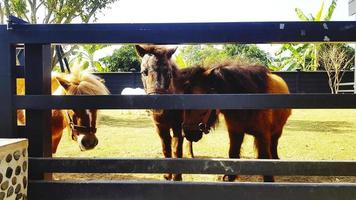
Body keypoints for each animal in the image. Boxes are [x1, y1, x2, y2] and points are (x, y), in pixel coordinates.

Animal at [135, 45, 193, 181]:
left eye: (168, 73)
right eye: (144, 72)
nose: (157, 104)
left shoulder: (177, 127)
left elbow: (176, 149)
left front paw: (177, 177)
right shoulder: (161, 128)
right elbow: (166, 148)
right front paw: (167, 175)